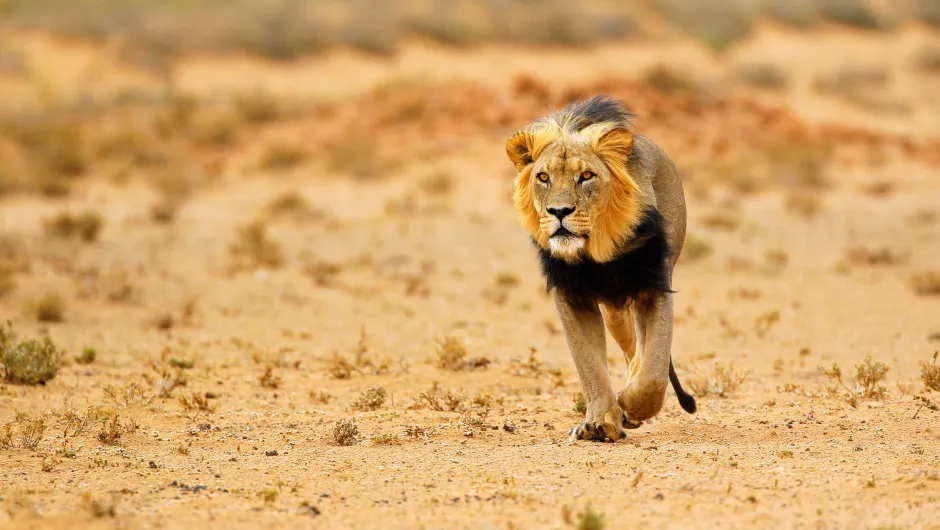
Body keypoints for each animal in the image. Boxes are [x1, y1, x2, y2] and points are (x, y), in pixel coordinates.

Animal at [506, 96, 696, 442]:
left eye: (586, 176)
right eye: (543, 177)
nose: (559, 211)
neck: (595, 253)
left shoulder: (654, 286)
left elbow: (654, 372)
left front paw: (633, 406)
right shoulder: (572, 296)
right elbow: (589, 365)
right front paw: (600, 421)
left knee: (642, 352)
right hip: (613, 309)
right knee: (630, 346)